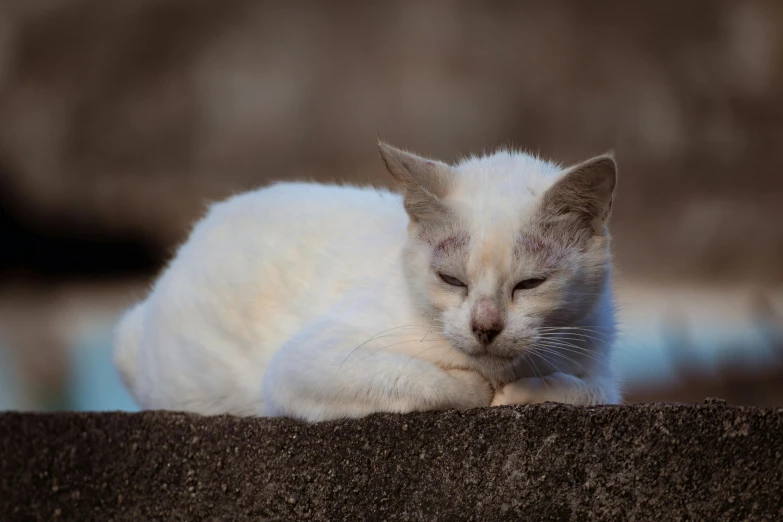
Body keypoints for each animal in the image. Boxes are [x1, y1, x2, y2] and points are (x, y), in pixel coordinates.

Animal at [113, 140, 620, 420]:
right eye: (451, 280)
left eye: (529, 284)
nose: (485, 327)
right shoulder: (302, 364)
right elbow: (427, 380)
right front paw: (482, 390)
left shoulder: (600, 367)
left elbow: (589, 390)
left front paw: (523, 392)